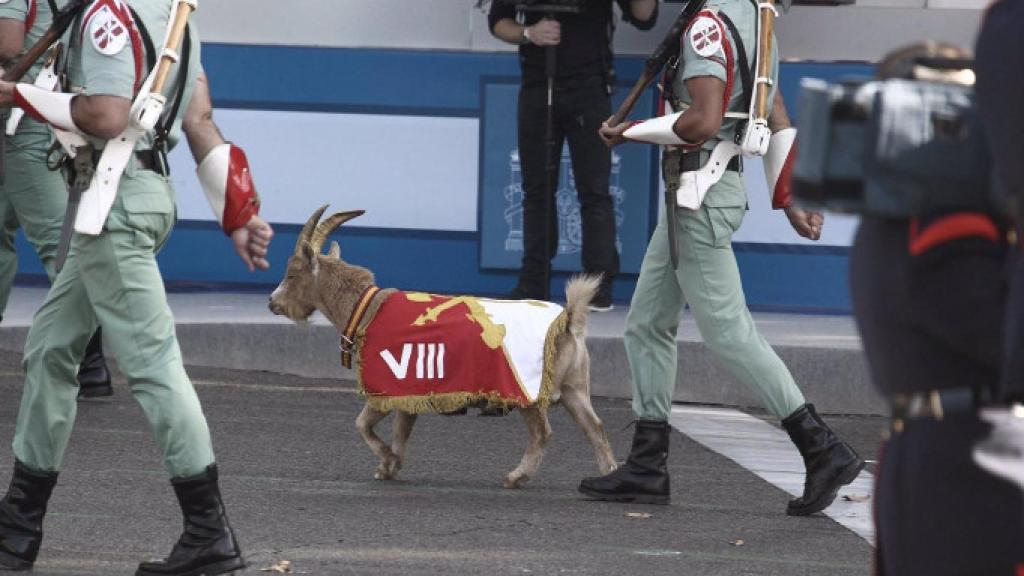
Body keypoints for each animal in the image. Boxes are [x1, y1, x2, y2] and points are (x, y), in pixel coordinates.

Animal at [268, 203, 614, 485]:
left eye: (292, 273)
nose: (273, 302)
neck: (365, 308)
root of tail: (568, 321)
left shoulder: (385, 387)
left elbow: (362, 424)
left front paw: (387, 461)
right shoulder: (408, 395)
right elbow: (401, 430)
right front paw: (390, 467)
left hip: (526, 390)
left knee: (543, 432)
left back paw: (516, 477)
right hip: (573, 387)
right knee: (595, 427)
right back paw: (608, 473)